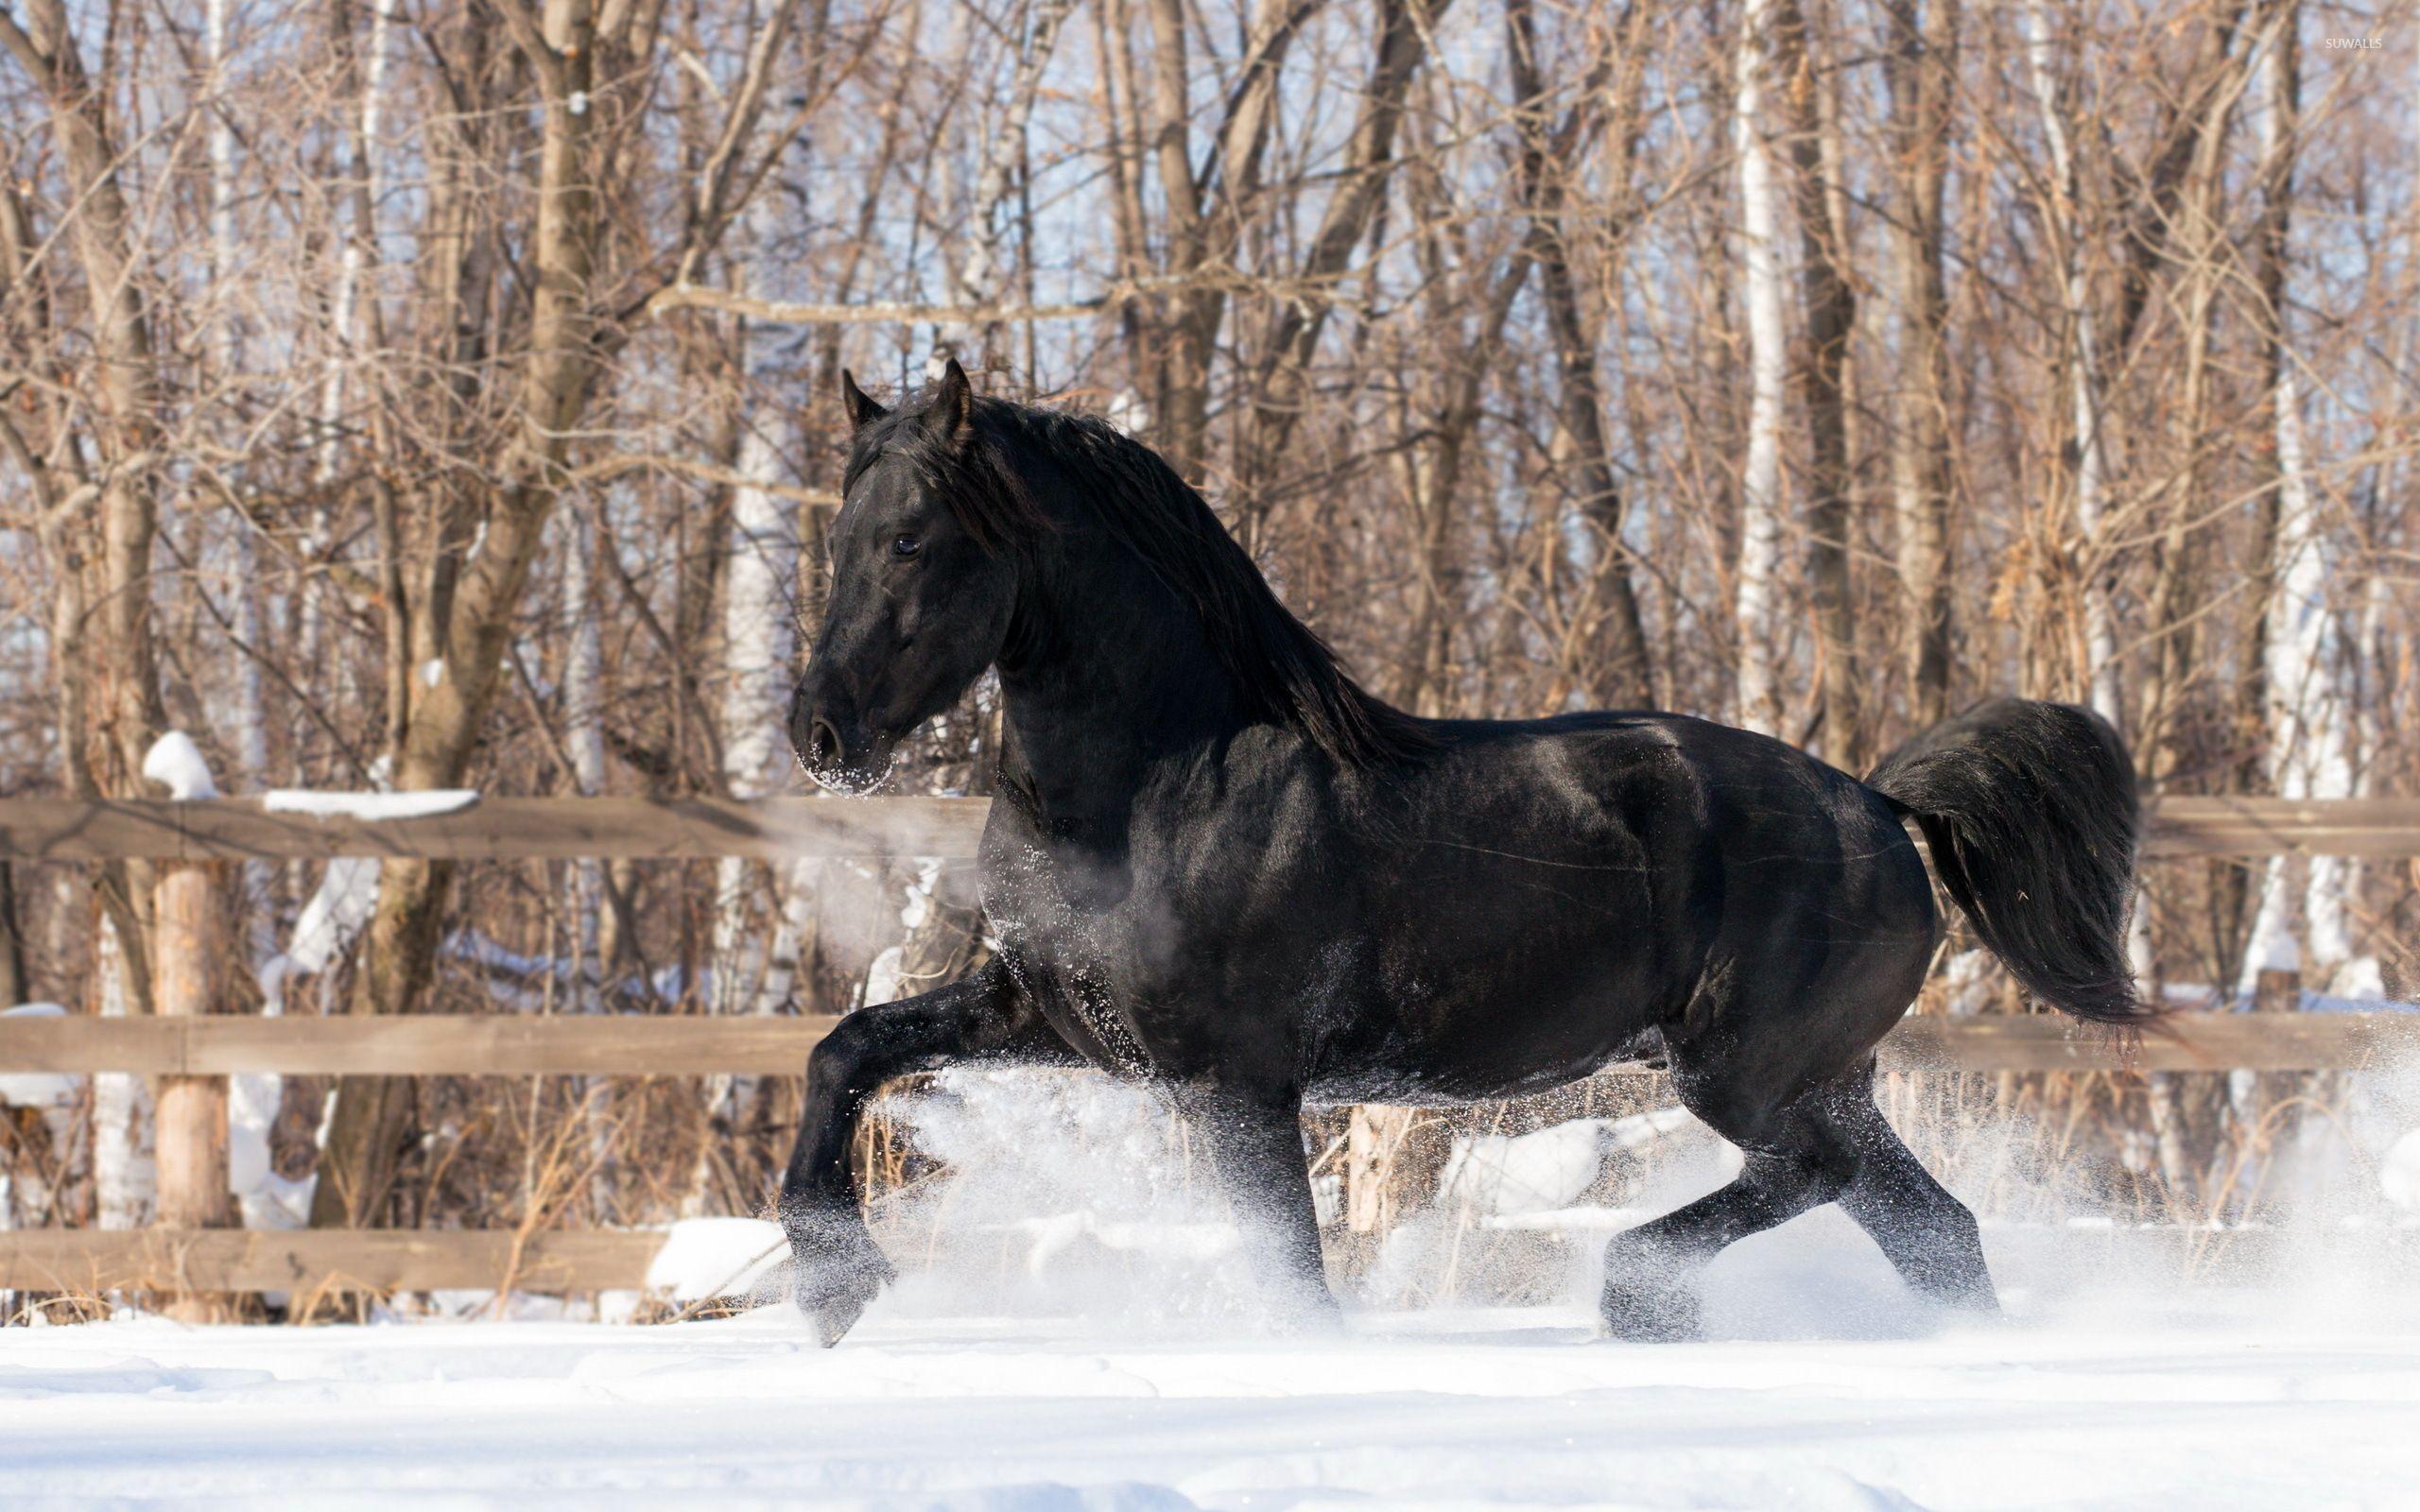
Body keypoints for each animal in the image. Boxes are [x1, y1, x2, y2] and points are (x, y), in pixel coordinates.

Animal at [776, 358, 2147, 1346]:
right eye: (840, 539)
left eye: (913, 542)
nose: (818, 733)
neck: (1157, 788)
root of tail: (1876, 801)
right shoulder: (1052, 1020)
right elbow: (846, 1047)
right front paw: (831, 1282)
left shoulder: (1237, 1083)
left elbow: (1292, 1272)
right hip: (1825, 1076)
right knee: (1934, 1231)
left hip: (1747, 1072)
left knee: (1811, 1174)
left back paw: (1638, 1295)